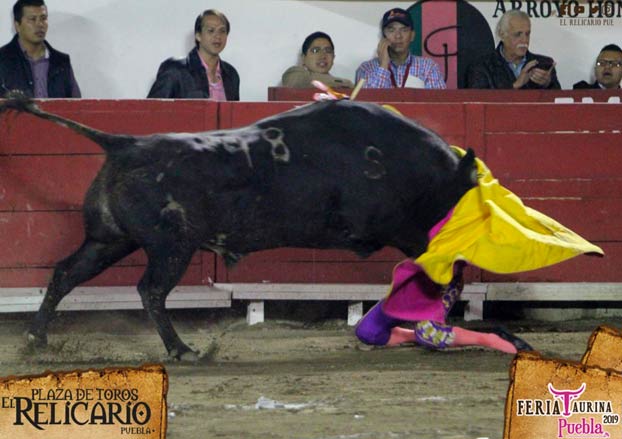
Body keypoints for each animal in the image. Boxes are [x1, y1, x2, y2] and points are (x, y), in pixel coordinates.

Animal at [0, 97, 478, 360]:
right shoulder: (401, 229)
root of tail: (124, 144)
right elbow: (436, 269)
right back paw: (183, 350)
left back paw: (36, 338)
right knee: (150, 290)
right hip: (172, 246)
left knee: (66, 273)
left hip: (109, 241)